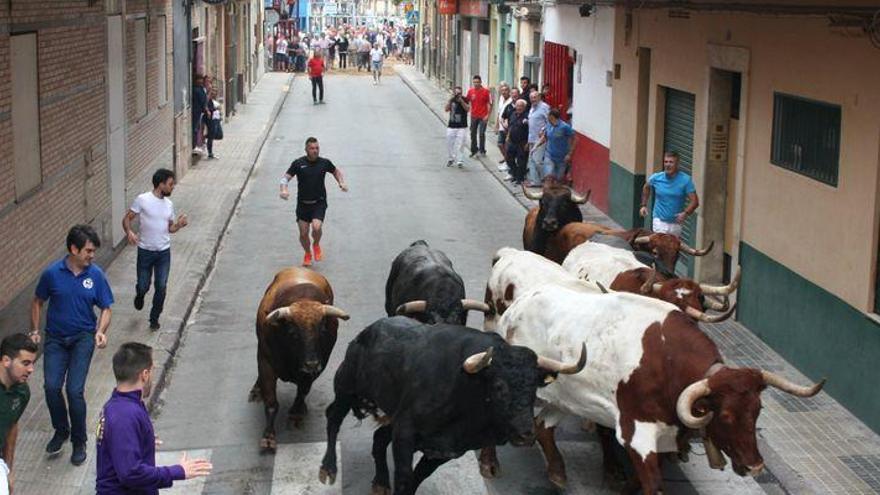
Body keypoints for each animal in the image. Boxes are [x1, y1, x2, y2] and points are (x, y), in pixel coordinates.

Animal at [249, 268, 348, 454]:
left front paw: (296, 412)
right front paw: (268, 437)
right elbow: (271, 402)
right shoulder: (266, 362)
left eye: (322, 330)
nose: (311, 364)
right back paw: (256, 390)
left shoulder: (315, 369)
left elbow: (303, 391)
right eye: (293, 332)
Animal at [320, 318, 588, 495]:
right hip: (346, 387)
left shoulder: (446, 450)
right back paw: (329, 468)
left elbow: (417, 478)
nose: (526, 434)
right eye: (499, 386)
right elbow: (405, 479)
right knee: (333, 417)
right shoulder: (405, 433)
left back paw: (380, 482)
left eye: (534, 388)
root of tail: (368, 331)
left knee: (378, 438)